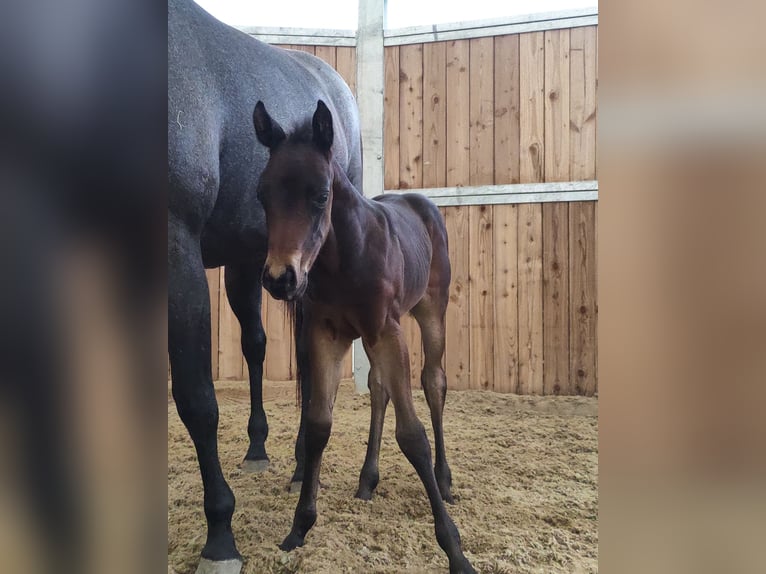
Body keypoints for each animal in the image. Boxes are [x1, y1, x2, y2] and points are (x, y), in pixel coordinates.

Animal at [255, 102, 476, 574]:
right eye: (262, 195)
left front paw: (454, 548)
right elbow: (318, 424)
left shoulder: (388, 330)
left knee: (434, 382)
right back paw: (367, 480)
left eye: (321, 195)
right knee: (378, 388)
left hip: (430, 310)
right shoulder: (327, 334)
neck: (344, 259)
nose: (281, 279)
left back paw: (445, 480)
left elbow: (412, 435)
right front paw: (299, 527)